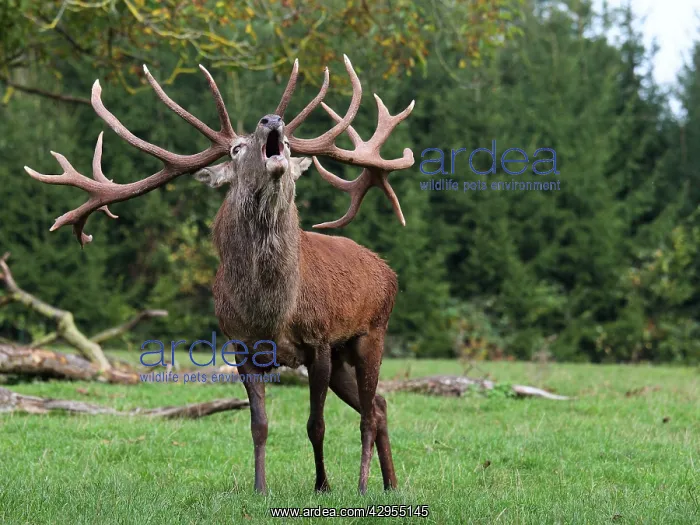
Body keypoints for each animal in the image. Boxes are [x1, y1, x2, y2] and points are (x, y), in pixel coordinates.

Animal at [24, 56, 415, 495]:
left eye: (289, 144)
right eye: (235, 148)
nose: (272, 119)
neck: (272, 314)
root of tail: (388, 270)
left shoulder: (318, 341)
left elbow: (316, 424)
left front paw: (322, 486)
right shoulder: (240, 346)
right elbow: (259, 424)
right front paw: (260, 488)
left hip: (370, 333)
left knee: (368, 414)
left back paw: (366, 484)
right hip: (346, 353)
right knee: (379, 405)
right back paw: (390, 483)